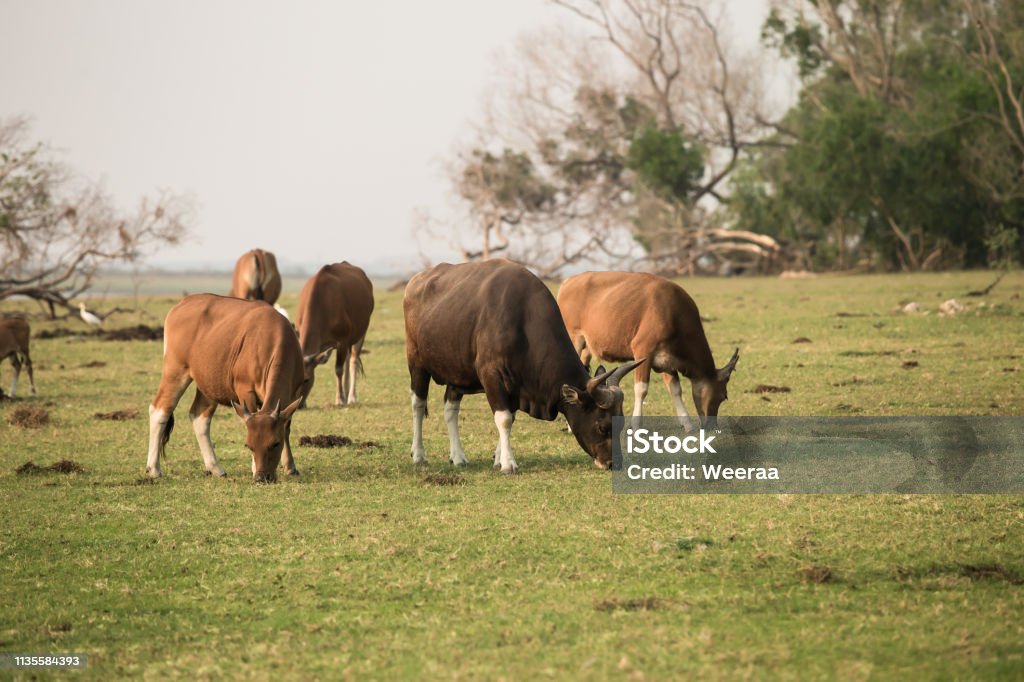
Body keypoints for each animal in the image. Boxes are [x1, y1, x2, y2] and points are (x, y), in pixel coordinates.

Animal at [146, 294, 317, 481]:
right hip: (175, 371)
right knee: (160, 410)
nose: (261, 477)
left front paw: (290, 467)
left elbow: (285, 427)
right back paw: (154, 469)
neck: (272, 339)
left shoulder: (293, 394)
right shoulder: (245, 391)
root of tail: (182, 303)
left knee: (199, 416)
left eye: (275, 443)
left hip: (208, 384)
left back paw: (216, 468)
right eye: (249, 445)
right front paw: (254, 468)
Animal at [294, 262, 374, 405]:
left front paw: (340, 399)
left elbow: (338, 369)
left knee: (353, 361)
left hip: (360, 333)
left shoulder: (342, 340)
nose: (299, 405)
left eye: (306, 379)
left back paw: (351, 396)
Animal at [401, 258, 634, 471]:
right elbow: (503, 418)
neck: (522, 320)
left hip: (456, 371)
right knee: (418, 405)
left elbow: (510, 418)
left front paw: (498, 458)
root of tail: (415, 281)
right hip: (416, 363)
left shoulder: (517, 387)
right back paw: (419, 455)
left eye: (621, 424)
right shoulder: (492, 376)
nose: (613, 463)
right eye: (602, 426)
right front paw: (508, 463)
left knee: (451, 409)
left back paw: (458, 456)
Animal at [561, 272, 737, 428]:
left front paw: (687, 424)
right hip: (574, 339)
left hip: (587, 347)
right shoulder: (643, 350)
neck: (673, 314)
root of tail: (568, 281)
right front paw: (636, 425)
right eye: (724, 396)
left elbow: (675, 390)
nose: (712, 426)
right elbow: (641, 389)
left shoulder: (667, 360)